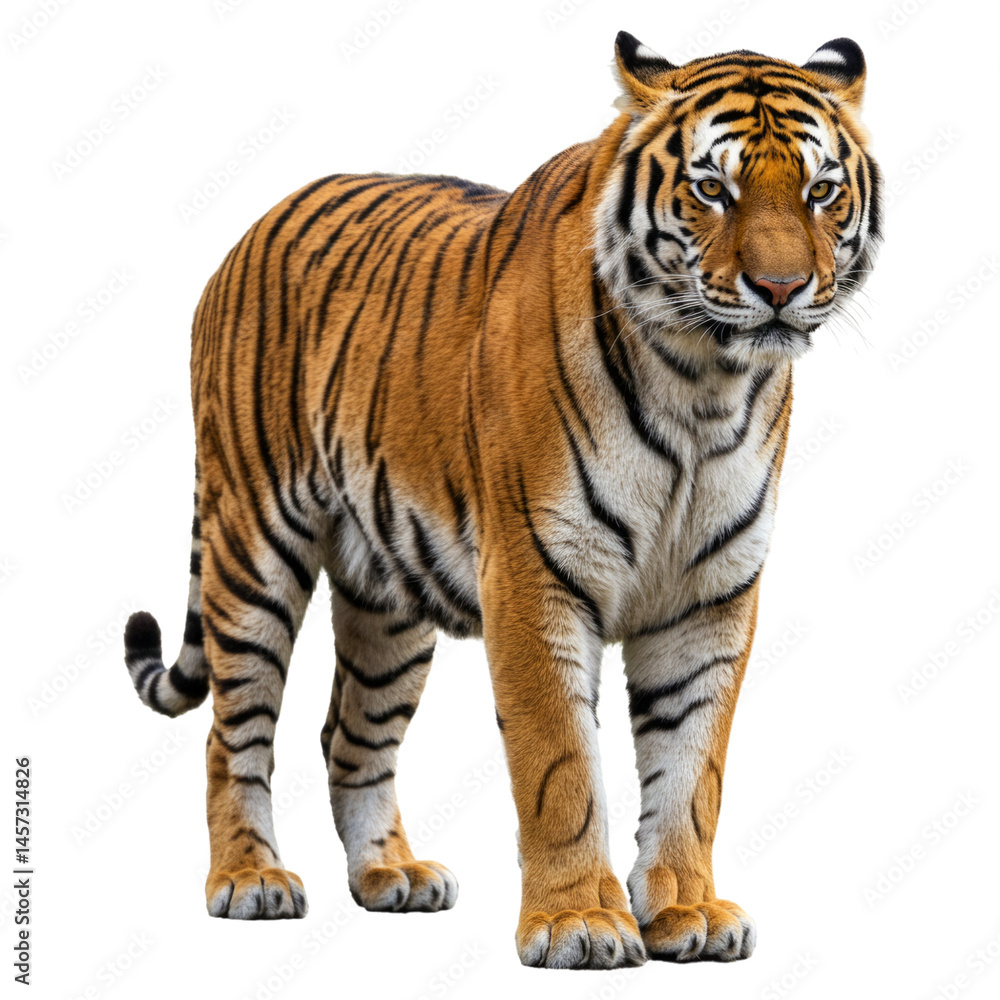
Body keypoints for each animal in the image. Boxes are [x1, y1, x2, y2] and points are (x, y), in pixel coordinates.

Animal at [123, 31, 881, 969]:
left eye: (821, 191)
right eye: (713, 189)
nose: (780, 289)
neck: (704, 384)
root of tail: (253, 228)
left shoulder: (710, 595)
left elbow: (692, 767)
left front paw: (686, 911)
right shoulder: (534, 572)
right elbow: (560, 763)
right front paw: (578, 921)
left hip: (387, 594)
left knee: (350, 731)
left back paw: (391, 874)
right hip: (252, 540)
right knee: (232, 729)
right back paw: (250, 879)